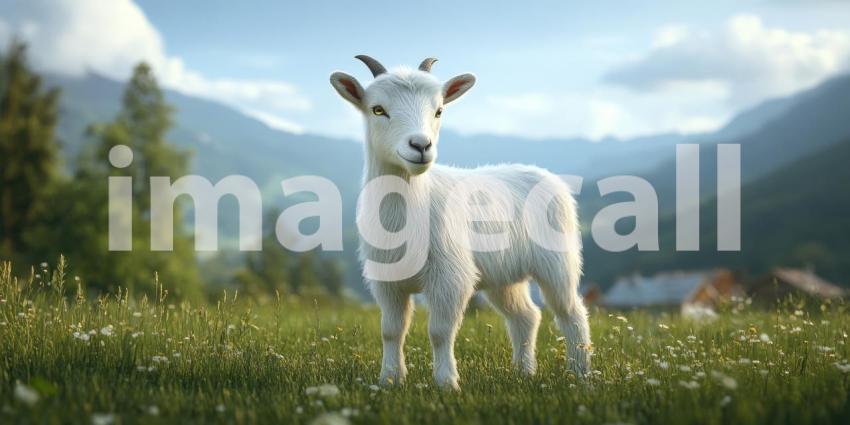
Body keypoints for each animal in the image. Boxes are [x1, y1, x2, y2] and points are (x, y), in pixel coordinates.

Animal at [330, 56, 591, 390]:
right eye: (378, 109)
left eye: (439, 110)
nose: (421, 146)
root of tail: (547, 175)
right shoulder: (386, 279)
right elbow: (391, 330)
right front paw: (389, 380)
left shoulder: (450, 276)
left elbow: (440, 332)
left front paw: (446, 383)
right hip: (503, 275)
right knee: (526, 316)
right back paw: (524, 372)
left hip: (558, 261)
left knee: (571, 312)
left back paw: (580, 373)